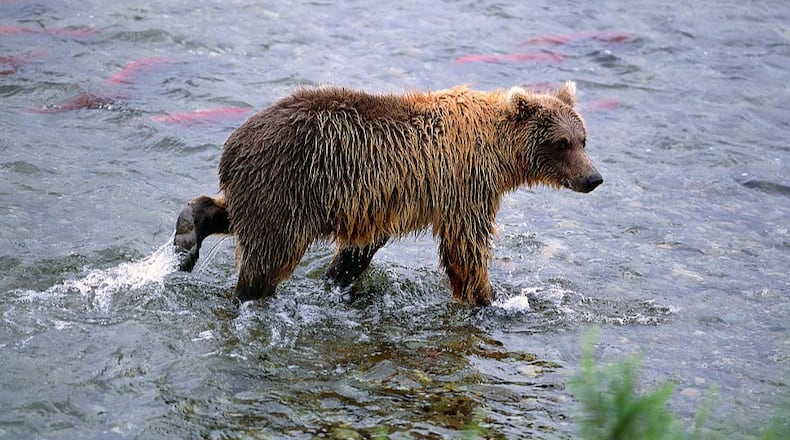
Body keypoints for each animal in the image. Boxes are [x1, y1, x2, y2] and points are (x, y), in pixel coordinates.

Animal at [173, 81, 602, 306]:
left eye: (583, 138)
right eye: (562, 142)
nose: (594, 177)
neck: (497, 153)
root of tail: (233, 144)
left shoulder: (382, 203)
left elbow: (360, 249)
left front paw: (338, 278)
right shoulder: (465, 187)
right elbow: (466, 247)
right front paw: (487, 299)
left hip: (270, 190)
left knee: (235, 216)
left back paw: (187, 235)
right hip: (287, 184)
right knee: (268, 254)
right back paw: (247, 292)